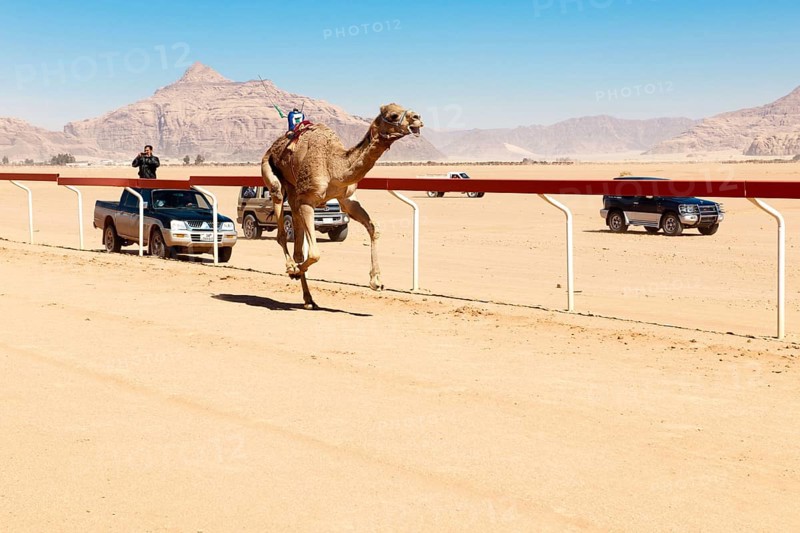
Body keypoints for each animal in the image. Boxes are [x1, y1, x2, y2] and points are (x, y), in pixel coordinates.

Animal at [260, 103, 423, 309]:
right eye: (394, 115)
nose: (418, 118)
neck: (334, 166)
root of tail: (273, 146)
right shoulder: (307, 201)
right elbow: (314, 253)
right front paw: (294, 271)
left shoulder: (347, 199)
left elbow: (373, 228)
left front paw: (376, 281)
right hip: (271, 173)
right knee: (281, 225)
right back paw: (291, 268)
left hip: (294, 194)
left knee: (297, 245)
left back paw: (308, 299)